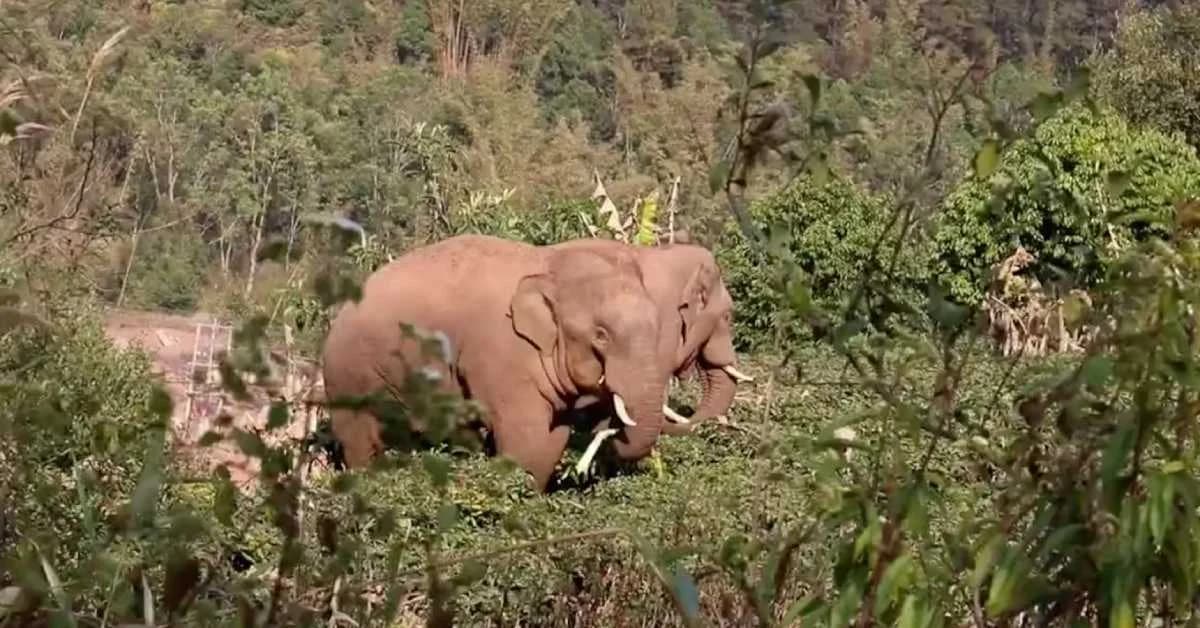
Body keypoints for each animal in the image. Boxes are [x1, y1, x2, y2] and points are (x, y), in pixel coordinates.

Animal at [320, 233, 672, 491]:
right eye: (601, 335)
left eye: (658, 326)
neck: (548, 263)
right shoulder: (500, 353)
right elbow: (525, 436)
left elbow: (551, 440)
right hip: (346, 375)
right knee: (361, 441)